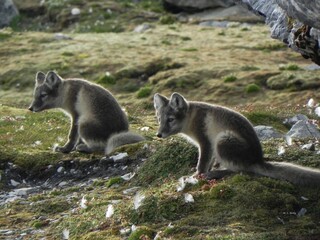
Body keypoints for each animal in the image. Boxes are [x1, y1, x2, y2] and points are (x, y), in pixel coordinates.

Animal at [153, 91, 320, 187]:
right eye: (159, 119)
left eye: (170, 119)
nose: (159, 135)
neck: (191, 117)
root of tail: (257, 160)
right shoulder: (210, 147)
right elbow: (208, 162)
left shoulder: (206, 142)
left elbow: (202, 164)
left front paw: (195, 176)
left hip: (222, 140)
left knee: (240, 170)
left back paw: (216, 173)